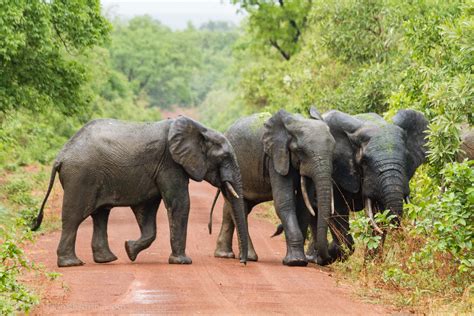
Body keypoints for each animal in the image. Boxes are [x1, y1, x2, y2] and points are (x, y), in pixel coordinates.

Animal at [31, 115, 250, 266]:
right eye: (225, 157)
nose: (242, 262)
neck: (199, 129)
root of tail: (61, 155)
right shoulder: (170, 164)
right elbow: (179, 203)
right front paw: (182, 262)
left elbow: (147, 211)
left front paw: (130, 249)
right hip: (81, 177)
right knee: (74, 217)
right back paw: (71, 264)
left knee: (100, 215)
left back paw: (107, 259)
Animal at [209, 110, 336, 266]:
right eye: (300, 150)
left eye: (333, 150)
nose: (326, 258)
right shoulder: (275, 157)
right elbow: (284, 202)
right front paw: (295, 261)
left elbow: (305, 206)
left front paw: (300, 260)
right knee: (239, 208)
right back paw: (248, 257)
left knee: (233, 208)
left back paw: (225, 255)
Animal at [304, 107, 430, 262]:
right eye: (364, 161)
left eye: (406, 158)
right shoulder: (335, 171)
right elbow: (337, 210)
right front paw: (334, 251)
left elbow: (379, 214)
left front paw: (372, 263)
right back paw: (314, 257)